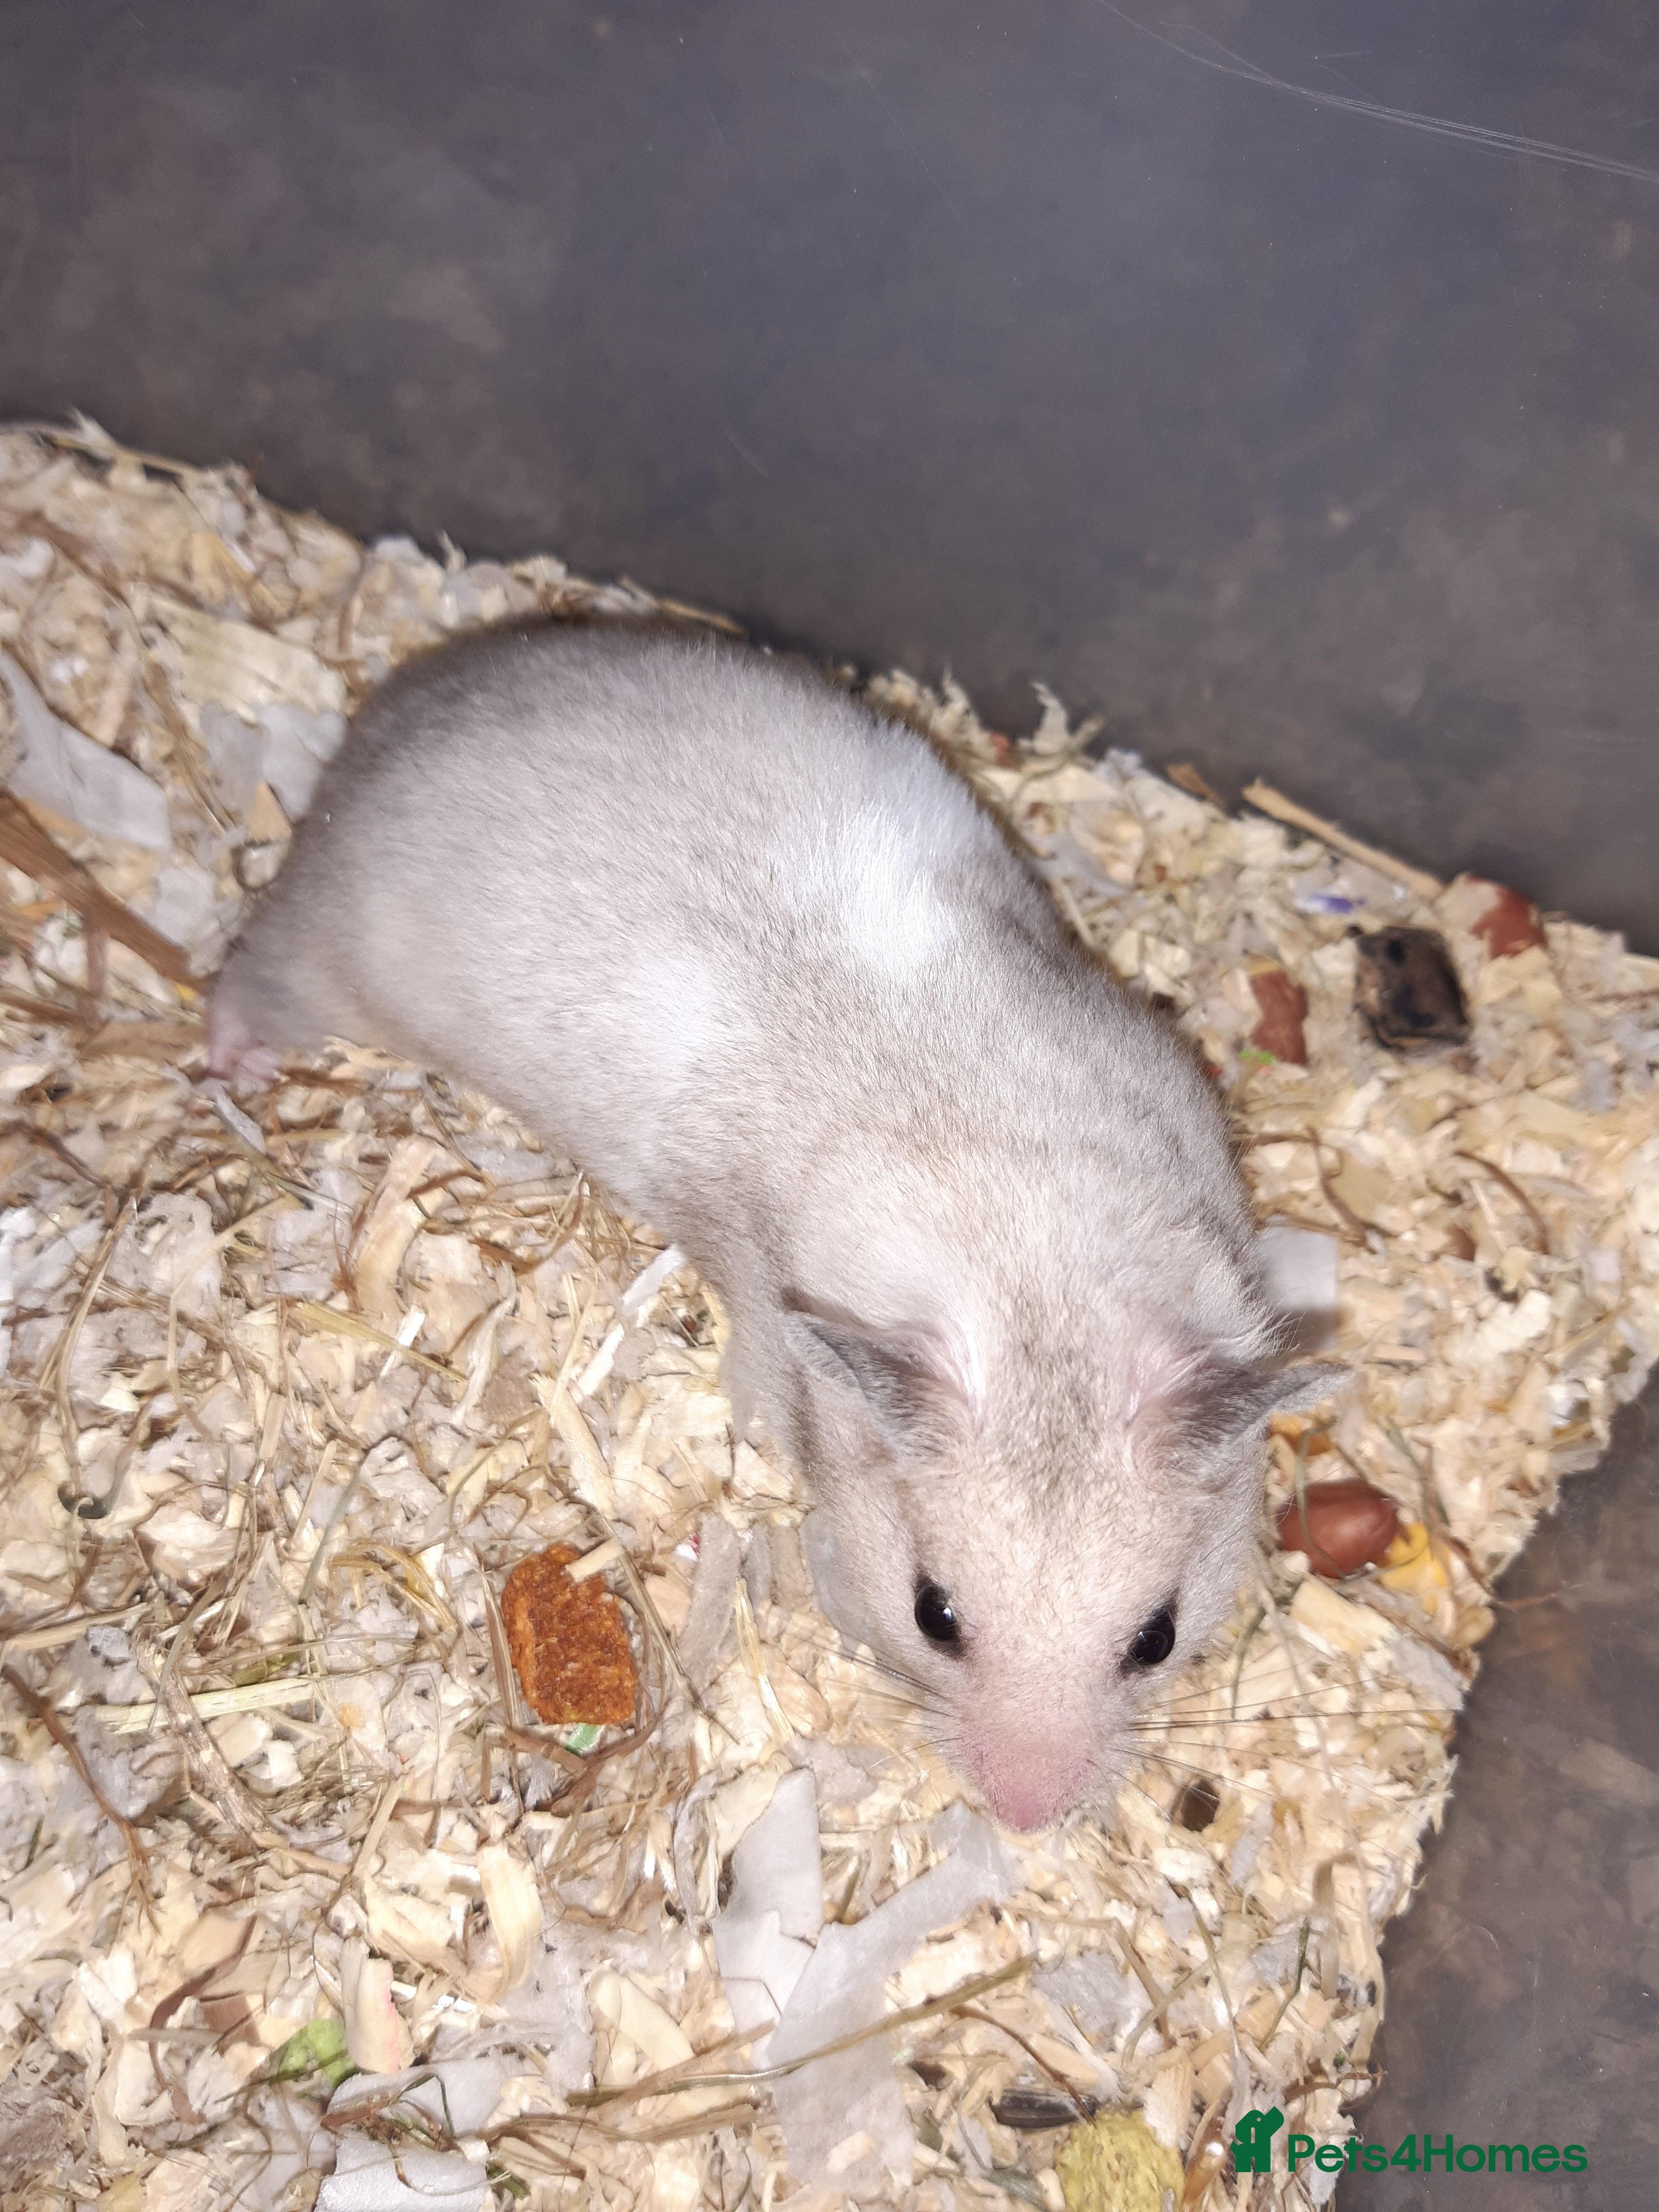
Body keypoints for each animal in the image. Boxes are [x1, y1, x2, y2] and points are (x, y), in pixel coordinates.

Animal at [212, 622, 1331, 1829]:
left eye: (1155, 1638)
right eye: (934, 1615)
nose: (1023, 1819)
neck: (1038, 1265)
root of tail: (395, 705)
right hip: (329, 952)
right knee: (252, 972)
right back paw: (233, 1061)